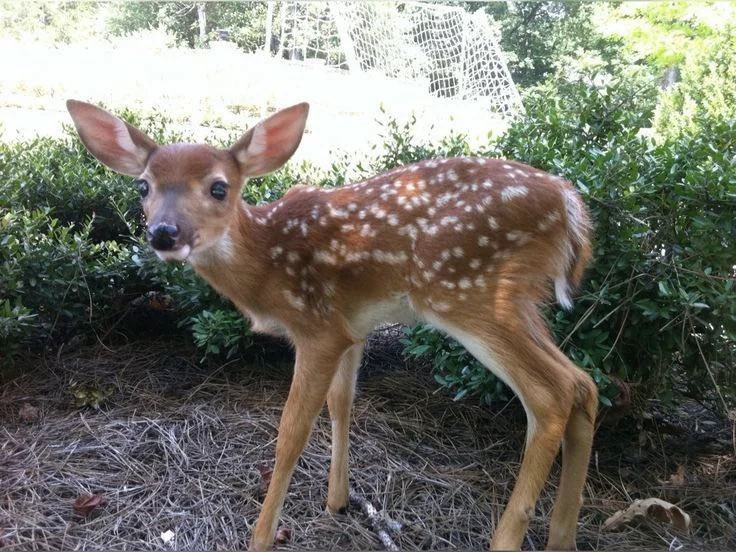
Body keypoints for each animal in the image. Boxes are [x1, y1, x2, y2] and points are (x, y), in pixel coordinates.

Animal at [66, 99, 597, 551]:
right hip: (520, 301)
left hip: (466, 290)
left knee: (551, 395)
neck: (265, 266)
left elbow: (291, 432)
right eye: (144, 186)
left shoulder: (317, 327)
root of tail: (570, 204)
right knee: (583, 384)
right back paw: (563, 538)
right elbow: (342, 404)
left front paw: (261, 536)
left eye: (219, 187)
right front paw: (337, 501)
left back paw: (507, 538)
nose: (164, 233)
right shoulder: (352, 324)